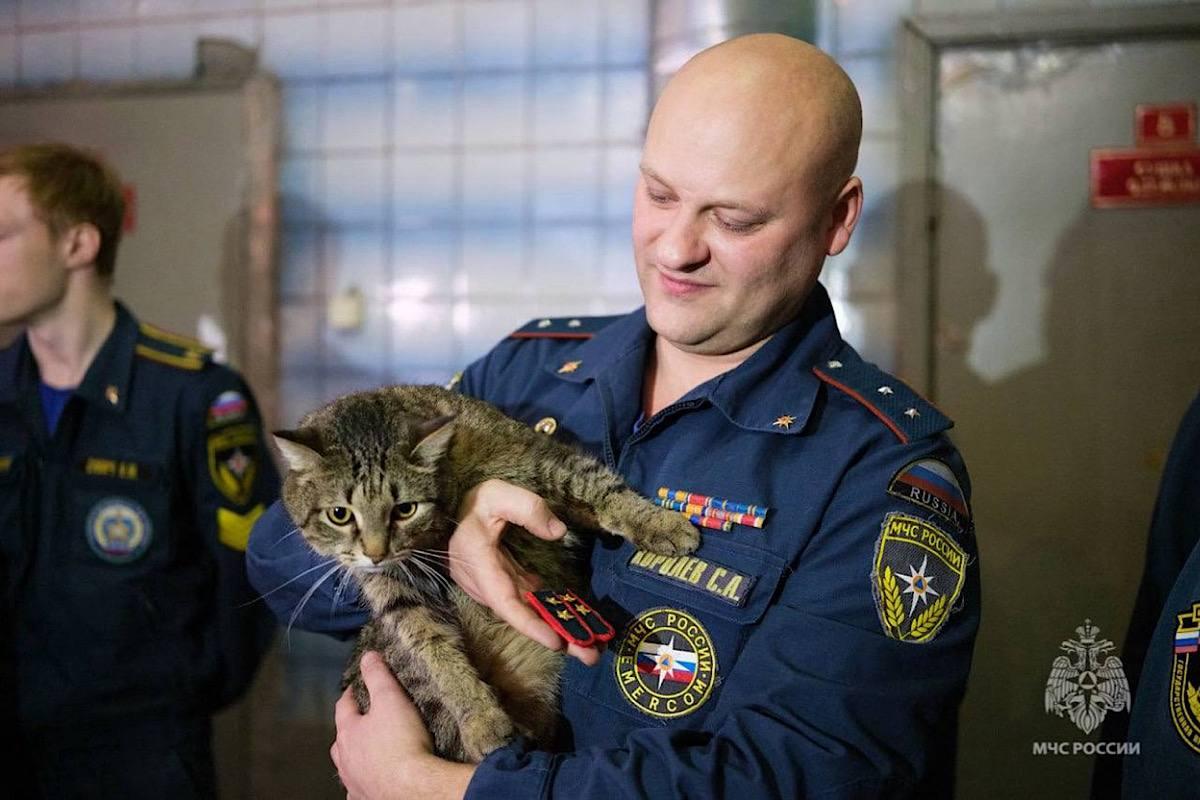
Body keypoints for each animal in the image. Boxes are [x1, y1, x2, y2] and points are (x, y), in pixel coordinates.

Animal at [274, 386, 700, 762]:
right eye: (339, 515)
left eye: (405, 509)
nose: (376, 553)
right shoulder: (396, 593)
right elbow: (434, 654)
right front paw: (479, 717)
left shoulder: (544, 461)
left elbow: (599, 487)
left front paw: (658, 523)